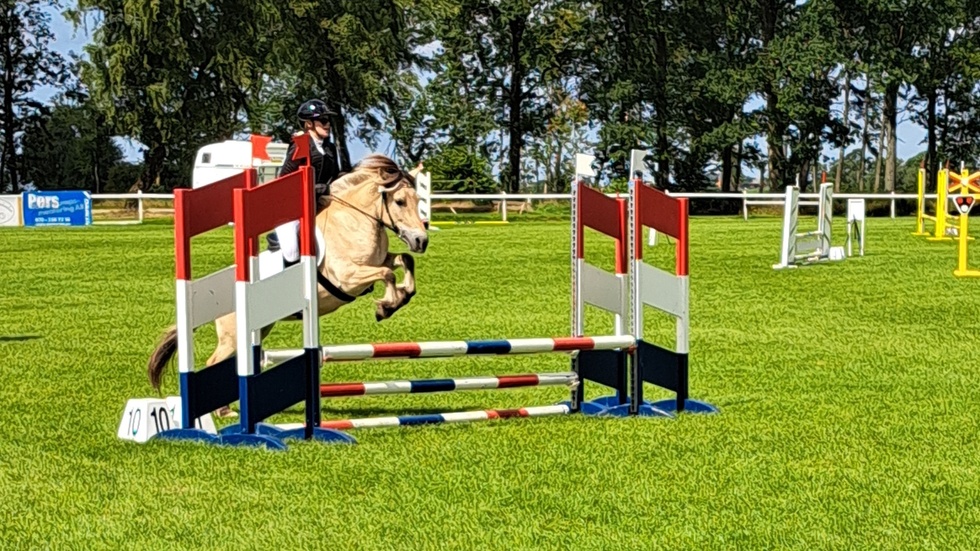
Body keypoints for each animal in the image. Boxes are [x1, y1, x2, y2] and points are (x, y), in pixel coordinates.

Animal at [145, 153, 428, 416]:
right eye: (399, 201)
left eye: (418, 200)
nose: (421, 240)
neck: (356, 220)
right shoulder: (349, 277)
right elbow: (387, 274)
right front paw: (386, 305)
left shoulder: (378, 261)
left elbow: (404, 260)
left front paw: (402, 295)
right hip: (232, 335)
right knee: (214, 361)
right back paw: (222, 411)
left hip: (257, 331)